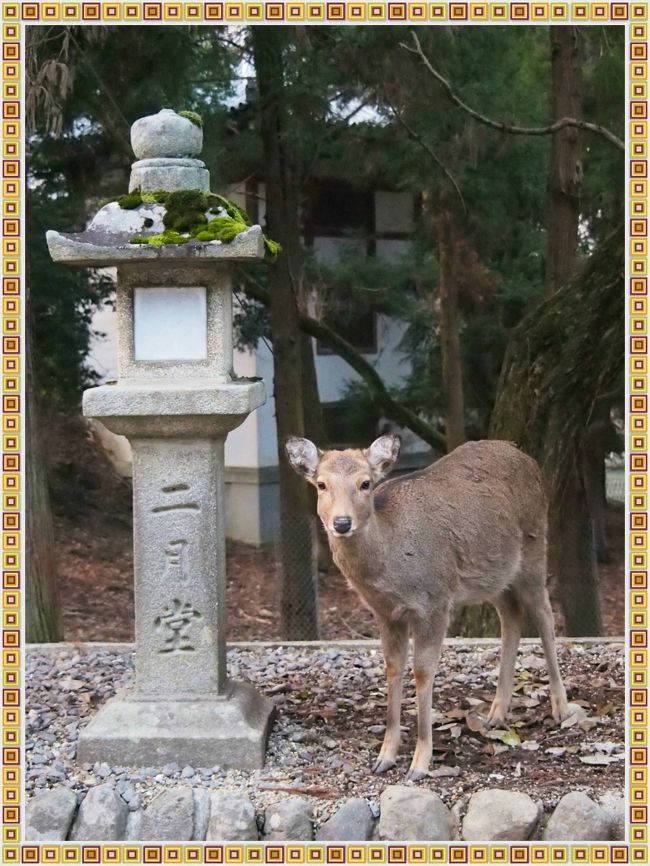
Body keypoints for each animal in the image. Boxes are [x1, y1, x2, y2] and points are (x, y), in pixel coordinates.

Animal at [284, 436, 568, 780]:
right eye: (321, 484)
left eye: (365, 483)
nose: (341, 522)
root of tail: (527, 458)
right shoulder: (385, 614)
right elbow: (393, 668)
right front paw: (385, 757)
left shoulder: (434, 603)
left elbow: (422, 671)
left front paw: (420, 763)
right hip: (495, 574)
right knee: (511, 615)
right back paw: (496, 714)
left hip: (535, 545)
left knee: (544, 615)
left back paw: (561, 709)